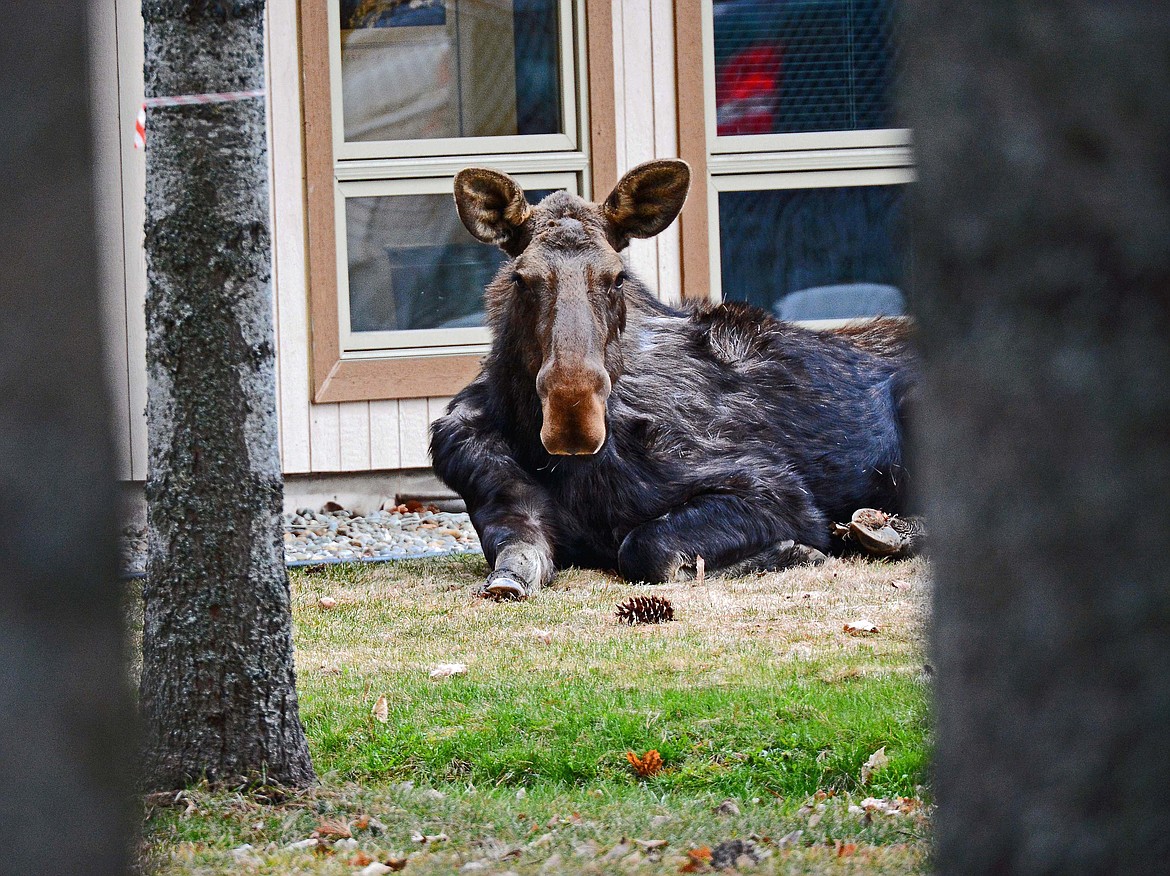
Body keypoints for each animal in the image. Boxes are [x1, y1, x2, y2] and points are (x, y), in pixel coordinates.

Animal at [430, 156, 912, 598]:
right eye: (521, 278)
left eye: (617, 277)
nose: (573, 417)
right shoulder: (501, 501)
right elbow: (514, 562)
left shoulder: (777, 491)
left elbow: (646, 547)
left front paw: (792, 552)